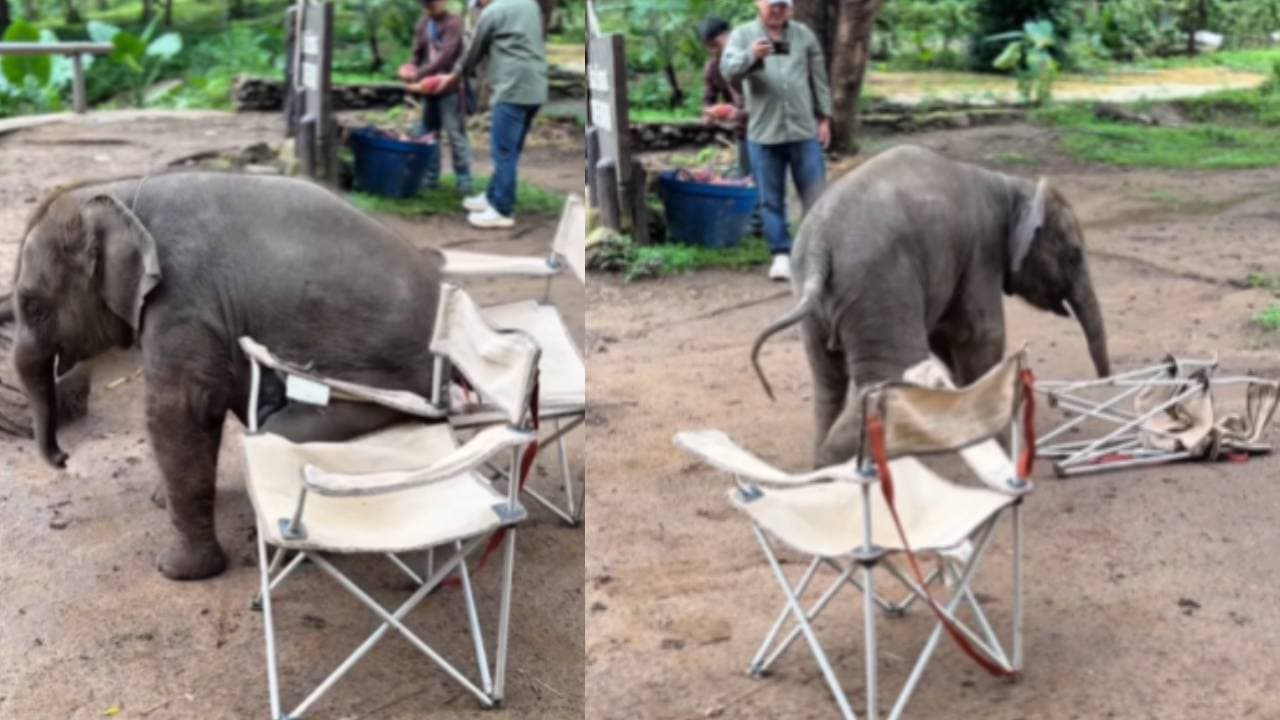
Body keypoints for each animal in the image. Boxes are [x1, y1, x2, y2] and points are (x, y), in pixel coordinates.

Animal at [12, 171, 444, 580]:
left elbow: (181, 408)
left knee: (281, 432)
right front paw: (161, 500)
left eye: (34, 307)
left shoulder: (183, 296)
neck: (121, 191)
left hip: (388, 386)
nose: (63, 458)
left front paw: (178, 571)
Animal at [751, 145, 1110, 467]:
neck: (1013, 186)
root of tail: (819, 250)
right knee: (887, 373)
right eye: (1074, 255)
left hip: (816, 301)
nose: (1105, 381)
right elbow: (979, 336)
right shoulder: (982, 251)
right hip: (880, 283)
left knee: (827, 381)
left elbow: (945, 338)